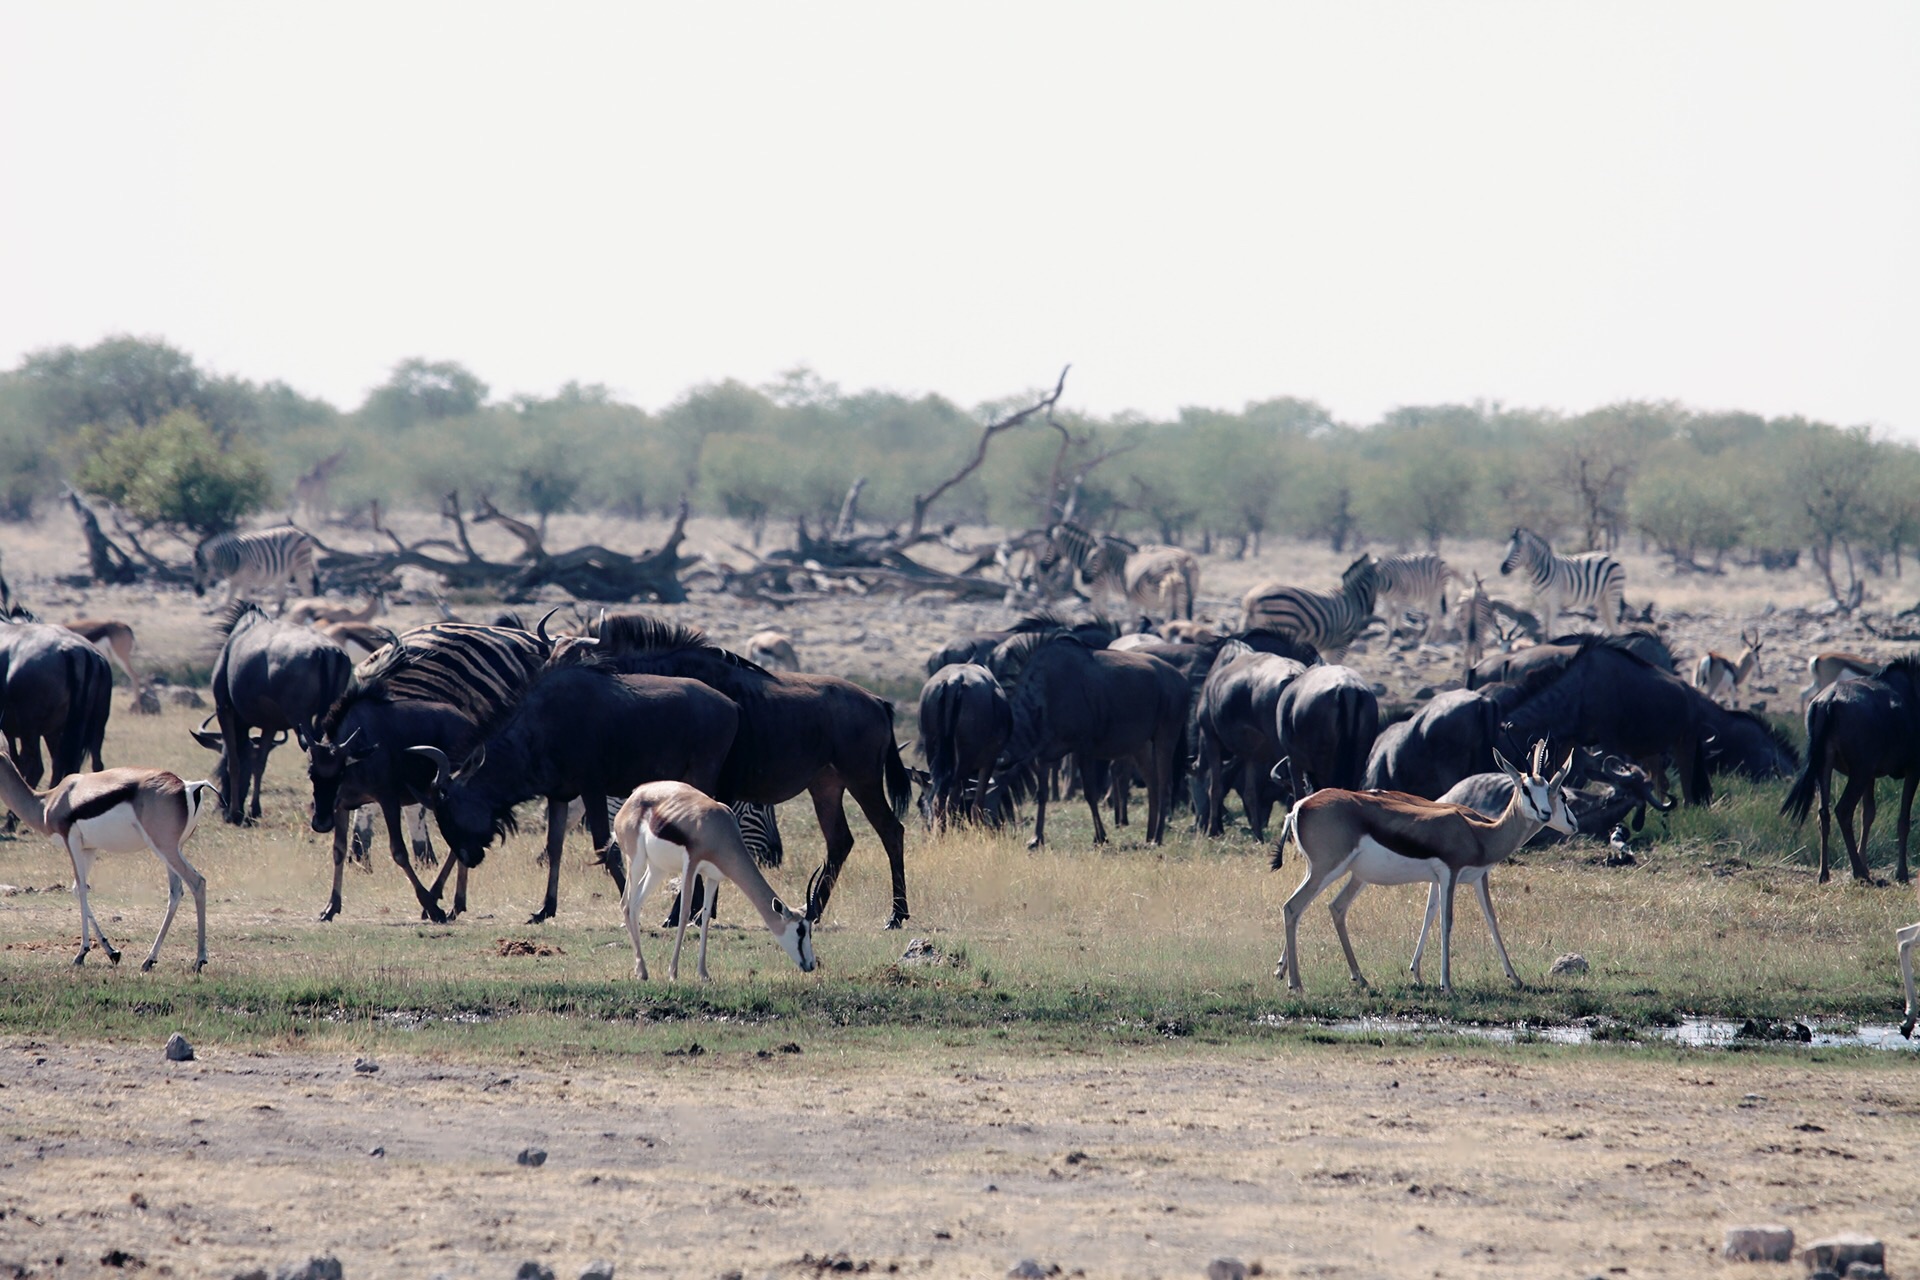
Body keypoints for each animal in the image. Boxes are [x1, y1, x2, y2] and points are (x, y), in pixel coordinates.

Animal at [0, 752, 218, 971]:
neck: (48, 801)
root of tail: (187, 786)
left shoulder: (71, 841)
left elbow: (81, 889)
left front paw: (81, 954)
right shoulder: (89, 848)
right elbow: (77, 889)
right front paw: (112, 952)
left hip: (165, 848)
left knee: (197, 882)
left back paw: (199, 961)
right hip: (172, 850)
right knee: (175, 892)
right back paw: (149, 961)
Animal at [610, 782, 814, 982]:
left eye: (810, 929)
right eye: (799, 931)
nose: (811, 965)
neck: (719, 829)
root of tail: (635, 795)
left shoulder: (714, 876)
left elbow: (706, 916)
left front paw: (703, 973)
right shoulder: (691, 866)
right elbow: (685, 913)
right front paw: (673, 973)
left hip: (657, 869)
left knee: (636, 904)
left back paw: (642, 970)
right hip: (636, 861)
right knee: (626, 904)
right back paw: (642, 970)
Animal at [1244, 556, 1382, 667]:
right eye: (1376, 582)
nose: (1371, 610)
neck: (1352, 597)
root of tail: (1252, 598)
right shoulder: (1342, 642)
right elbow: (1334, 663)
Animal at [1274, 740, 1574, 997]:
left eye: (1548, 790)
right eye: (1527, 789)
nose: (1547, 814)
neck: (1479, 834)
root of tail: (1299, 807)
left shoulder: (1470, 878)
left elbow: (1486, 918)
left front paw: (1515, 978)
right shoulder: (1450, 873)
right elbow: (1446, 921)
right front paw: (1447, 984)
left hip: (1339, 873)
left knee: (1330, 908)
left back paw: (1354, 977)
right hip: (1327, 870)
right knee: (1292, 907)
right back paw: (1296, 984)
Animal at [1489, 525, 1628, 637]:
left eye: (1517, 551)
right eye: (1507, 550)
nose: (1502, 569)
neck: (1543, 569)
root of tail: (1611, 556)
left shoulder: (1553, 601)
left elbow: (1551, 632)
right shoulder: (1542, 602)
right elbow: (1545, 632)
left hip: (1612, 593)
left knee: (1615, 626)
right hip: (1601, 598)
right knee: (1611, 625)